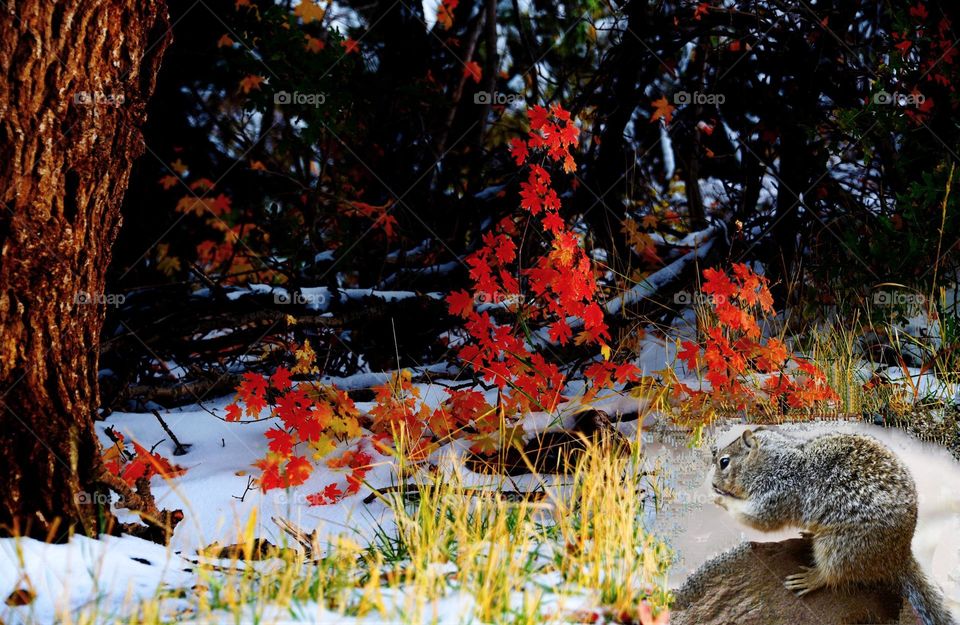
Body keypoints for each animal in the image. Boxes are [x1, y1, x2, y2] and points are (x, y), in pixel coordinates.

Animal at [711, 427, 955, 625]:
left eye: (724, 462)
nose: (712, 484)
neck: (775, 461)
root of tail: (899, 557)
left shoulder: (775, 494)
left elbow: (755, 518)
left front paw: (721, 500)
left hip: (839, 547)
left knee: (832, 574)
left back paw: (810, 578)